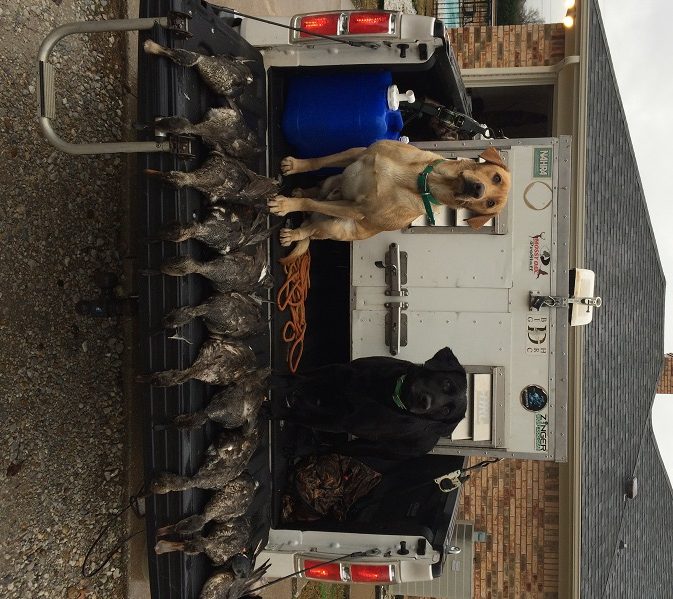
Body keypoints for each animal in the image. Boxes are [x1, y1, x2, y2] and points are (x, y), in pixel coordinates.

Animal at [267, 140, 511, 263]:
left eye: (489, 204)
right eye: (496, 177)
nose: (479, 191)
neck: (424, 179)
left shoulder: (355, 209)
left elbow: (311, 204)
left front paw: (285, 205)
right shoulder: (359, 152)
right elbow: (322, 160)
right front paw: (297, 165)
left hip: (334, 226)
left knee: (311, 228)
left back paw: (293, 232)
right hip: (331, 182)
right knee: (318, 193)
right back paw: (301, 191)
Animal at [274, 347, 468, 459]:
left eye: (445, 411)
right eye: (447, 383)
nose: (424, 403)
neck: (388, 392)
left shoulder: (343, 421)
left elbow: (303, 416)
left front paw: (273, 410)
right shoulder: (339, 372)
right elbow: (304, 376)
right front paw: (279, 378)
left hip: (363, 447)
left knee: (331, 447)